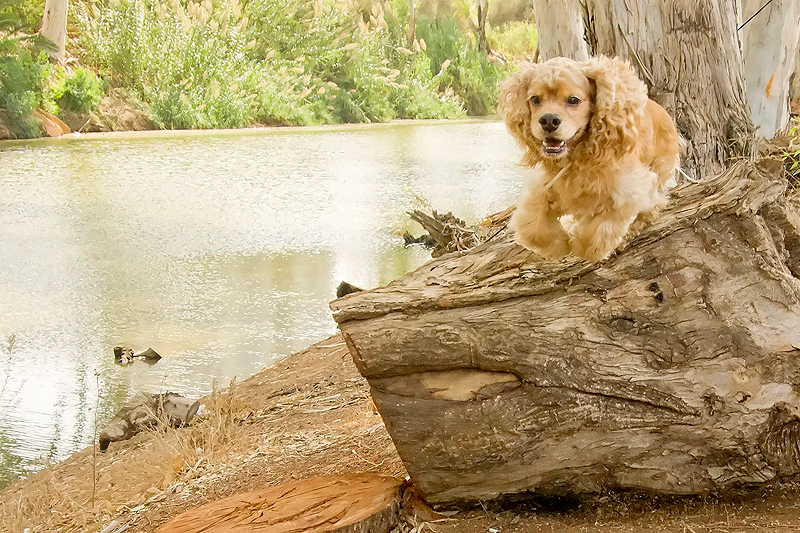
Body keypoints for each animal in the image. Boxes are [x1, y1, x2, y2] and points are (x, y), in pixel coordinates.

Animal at [500, 55, 680, 260]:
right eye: (535, 99)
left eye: (573, 100)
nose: (548, 120)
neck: (576, 158)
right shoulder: (542, 186)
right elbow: (533, 229)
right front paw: (558, 245)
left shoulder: (628, 193)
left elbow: (595, 235)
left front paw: (578, 242)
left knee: (651, 210)